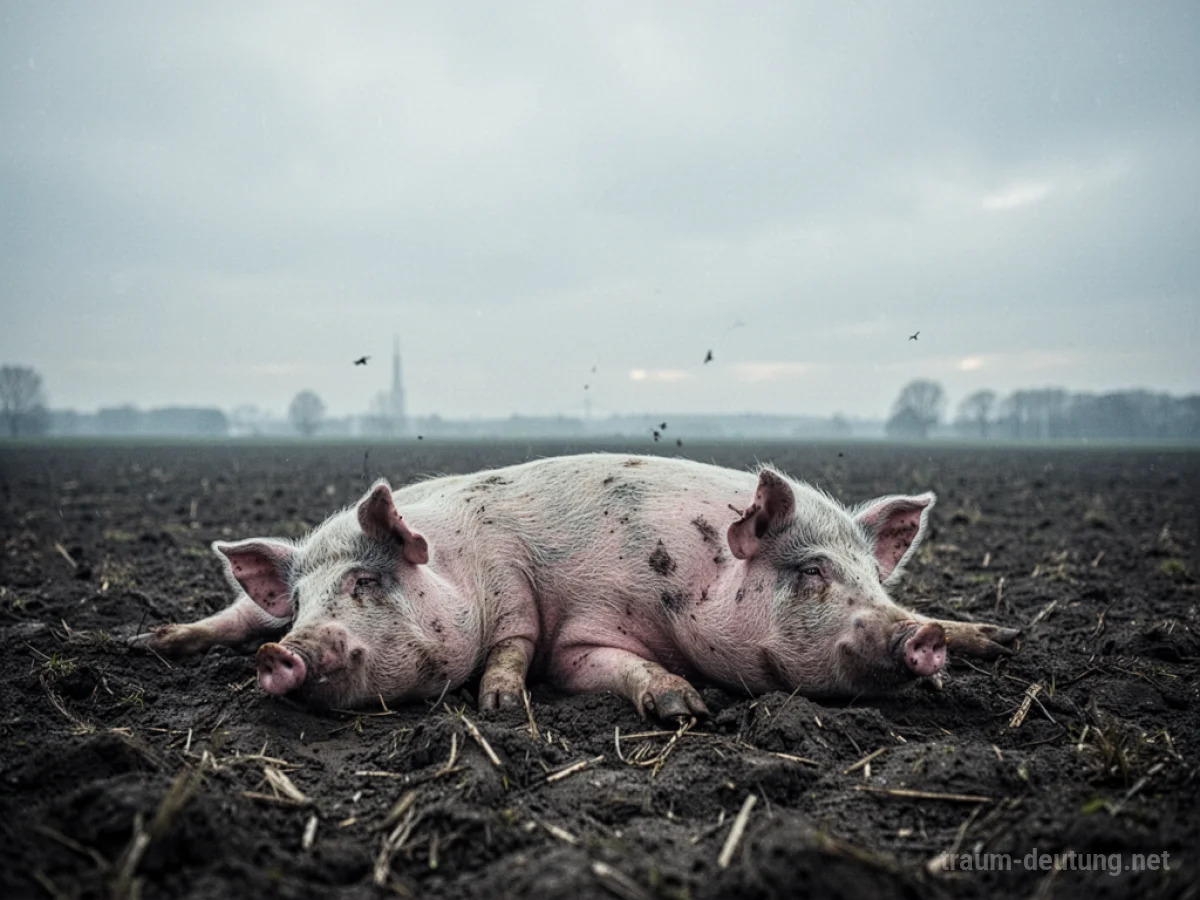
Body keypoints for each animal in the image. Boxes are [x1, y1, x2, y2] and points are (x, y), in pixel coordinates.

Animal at [135, 454, 1018, 719]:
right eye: (810, 571)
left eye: (866, 575)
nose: (919, 635)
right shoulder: (572, 626)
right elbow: (555, 656)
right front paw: (684, 708)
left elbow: (514, 643)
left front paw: (995, 638)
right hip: (256, 606)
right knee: (238, 613)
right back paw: (151, 639)